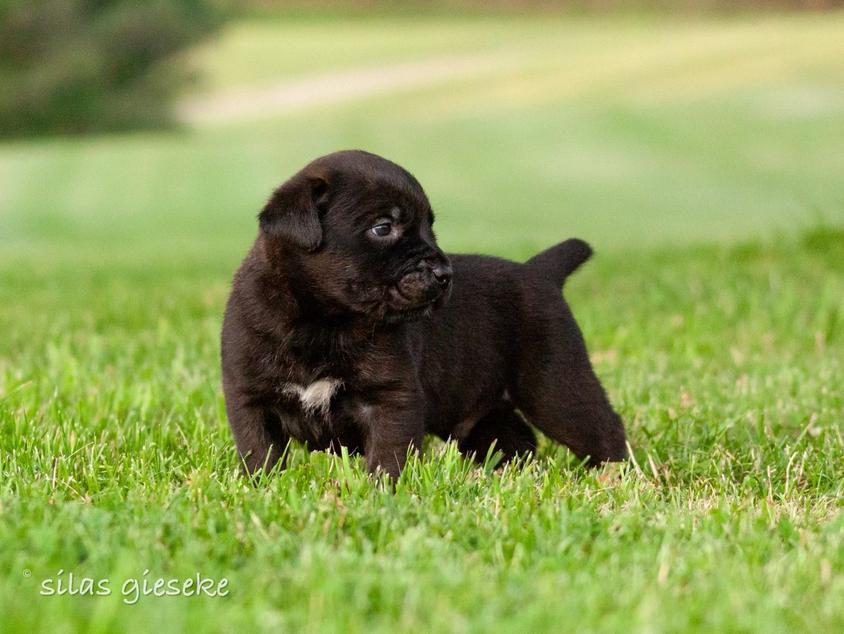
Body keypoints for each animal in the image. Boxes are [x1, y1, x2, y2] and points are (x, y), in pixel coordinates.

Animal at [221, 149, 628, 474]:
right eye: (383, 227)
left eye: (430, 228)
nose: (445, 273)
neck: (323, 319)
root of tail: (540, 271)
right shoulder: (250, 400)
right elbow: (259, 454)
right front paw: (262, 489)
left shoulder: (391, 399)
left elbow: (388, 457)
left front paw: (383, 495)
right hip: (487, 407)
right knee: (515, 436)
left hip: (554, 385)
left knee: (604, 428)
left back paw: (616, 477)